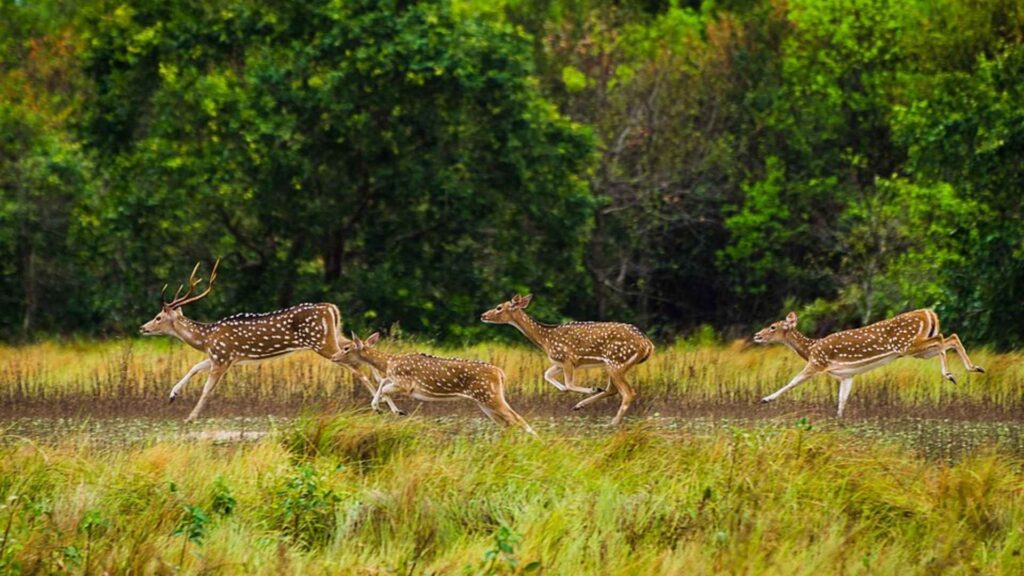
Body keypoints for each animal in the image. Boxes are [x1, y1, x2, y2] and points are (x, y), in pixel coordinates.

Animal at [139, 260, 402, 420]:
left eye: (158, 316)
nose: (143, 328)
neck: (205, 337)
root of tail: (331, 308)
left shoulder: (222, 357)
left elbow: (207, 389)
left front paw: (191, 416)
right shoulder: (220, 357)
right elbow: (194, 367)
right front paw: (172, 395)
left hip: (322, 343)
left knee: (357, 369)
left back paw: (382, 407)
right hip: (335, 335)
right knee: (362, 350)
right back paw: (393, 407)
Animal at [331, 332, 536, 435]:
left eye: (346, 348)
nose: (333, 357)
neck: (389, 362)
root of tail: (500, 373)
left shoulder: (406, 384)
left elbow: (385, 387)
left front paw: (382, 407)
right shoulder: (396, 380)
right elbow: (383, 384)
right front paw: (393, 410)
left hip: (490, 395)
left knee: (517, 418)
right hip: (485, 400)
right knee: (507, 422)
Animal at [480, 294, 654, 425]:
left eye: (499, 307)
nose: (483, 315)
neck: (546, 340)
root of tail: (648, 345)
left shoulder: (567, 358)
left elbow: (569, 383)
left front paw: (590, 388)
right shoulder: (558, 362)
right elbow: (547, 375)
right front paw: (578, 390)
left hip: (616, 362)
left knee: (628, 392)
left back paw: (612, 422)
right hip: (612, 365)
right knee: (613, 389)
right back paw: (580, 405)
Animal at [753, 309, 985, 418]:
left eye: (773, 327)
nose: (757, 335)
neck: (810, 348)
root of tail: (929, 312)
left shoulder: (818, 362)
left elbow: (793, 381)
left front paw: (766, 399)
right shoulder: (846, 375)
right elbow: (842, 401)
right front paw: (838, 420)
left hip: (908, 345)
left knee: (944, 338)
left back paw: (952, 374)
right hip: (919, 350)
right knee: (949, 338)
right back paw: (973, 368)